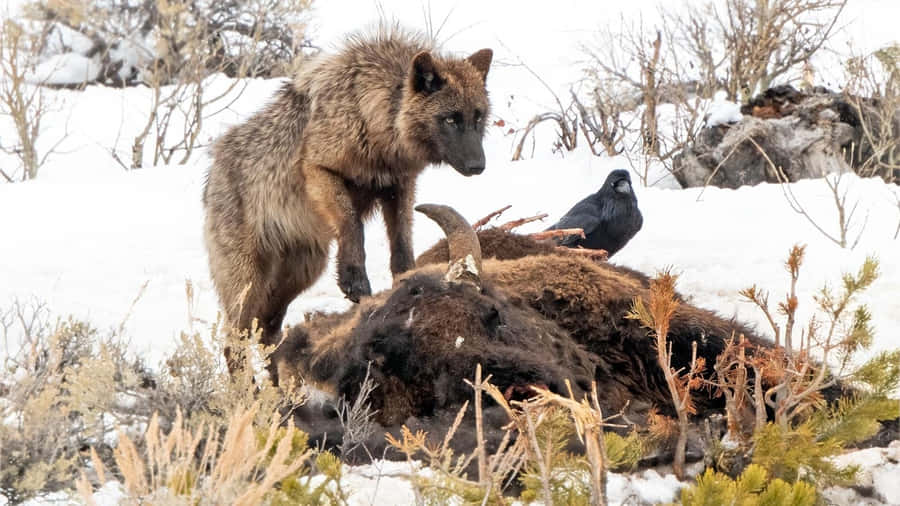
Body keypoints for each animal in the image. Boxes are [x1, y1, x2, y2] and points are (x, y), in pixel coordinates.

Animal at [202, 26, 492, 372]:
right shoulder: (320, 171)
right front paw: (355, 280)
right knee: (235, 343)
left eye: (478, 117)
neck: (372, 115)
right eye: (450, 119)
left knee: (268, 333)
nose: (478, 166)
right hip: (249, 283)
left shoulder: (399, 188)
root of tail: (212, 171)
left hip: (303, 272)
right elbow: (352, 224)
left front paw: (405, 283)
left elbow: (401, 247)